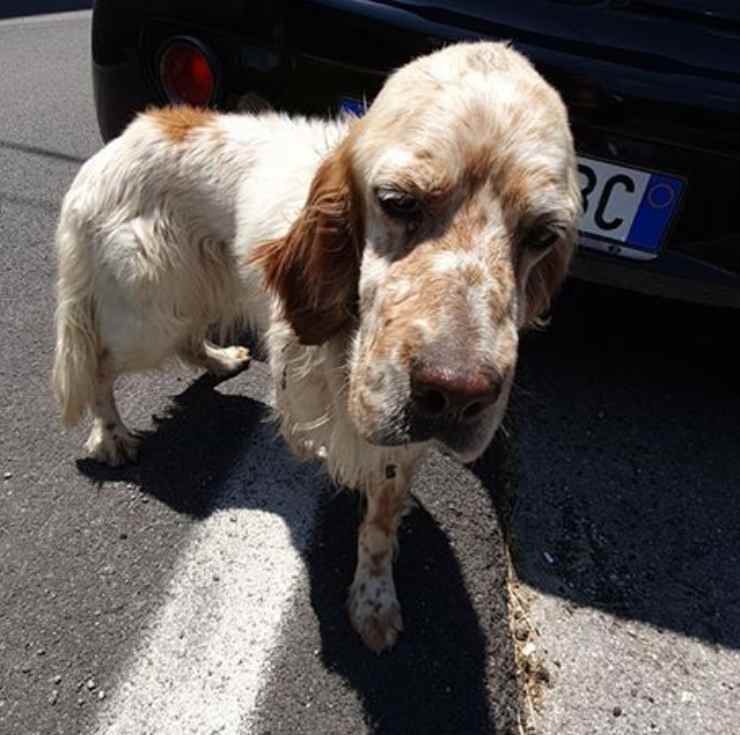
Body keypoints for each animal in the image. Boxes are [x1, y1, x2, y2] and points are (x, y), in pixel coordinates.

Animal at [53, 41, 584, 648]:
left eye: (543, 235)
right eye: (397, 201)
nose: (456, 396)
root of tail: (117, 145)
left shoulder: (400, 444)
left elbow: (379, 523)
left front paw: (374, 598)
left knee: (188, 342)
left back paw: (219, 359)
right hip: (153, 308)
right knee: (98, 362)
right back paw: (112, 435)